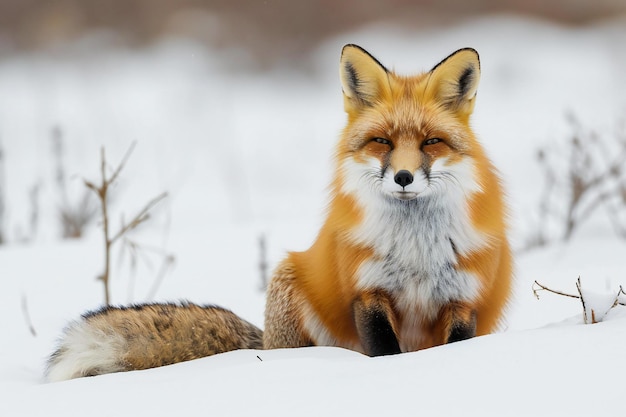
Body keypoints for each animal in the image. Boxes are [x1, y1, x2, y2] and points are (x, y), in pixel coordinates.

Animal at [45, 44, 512, 380]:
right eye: (382, 141)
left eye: (431, 142)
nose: (402, 177)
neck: (416, 252)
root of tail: (264, 342)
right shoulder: (368, 293)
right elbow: (383, 352)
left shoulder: (462, 300)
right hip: (289, 286)